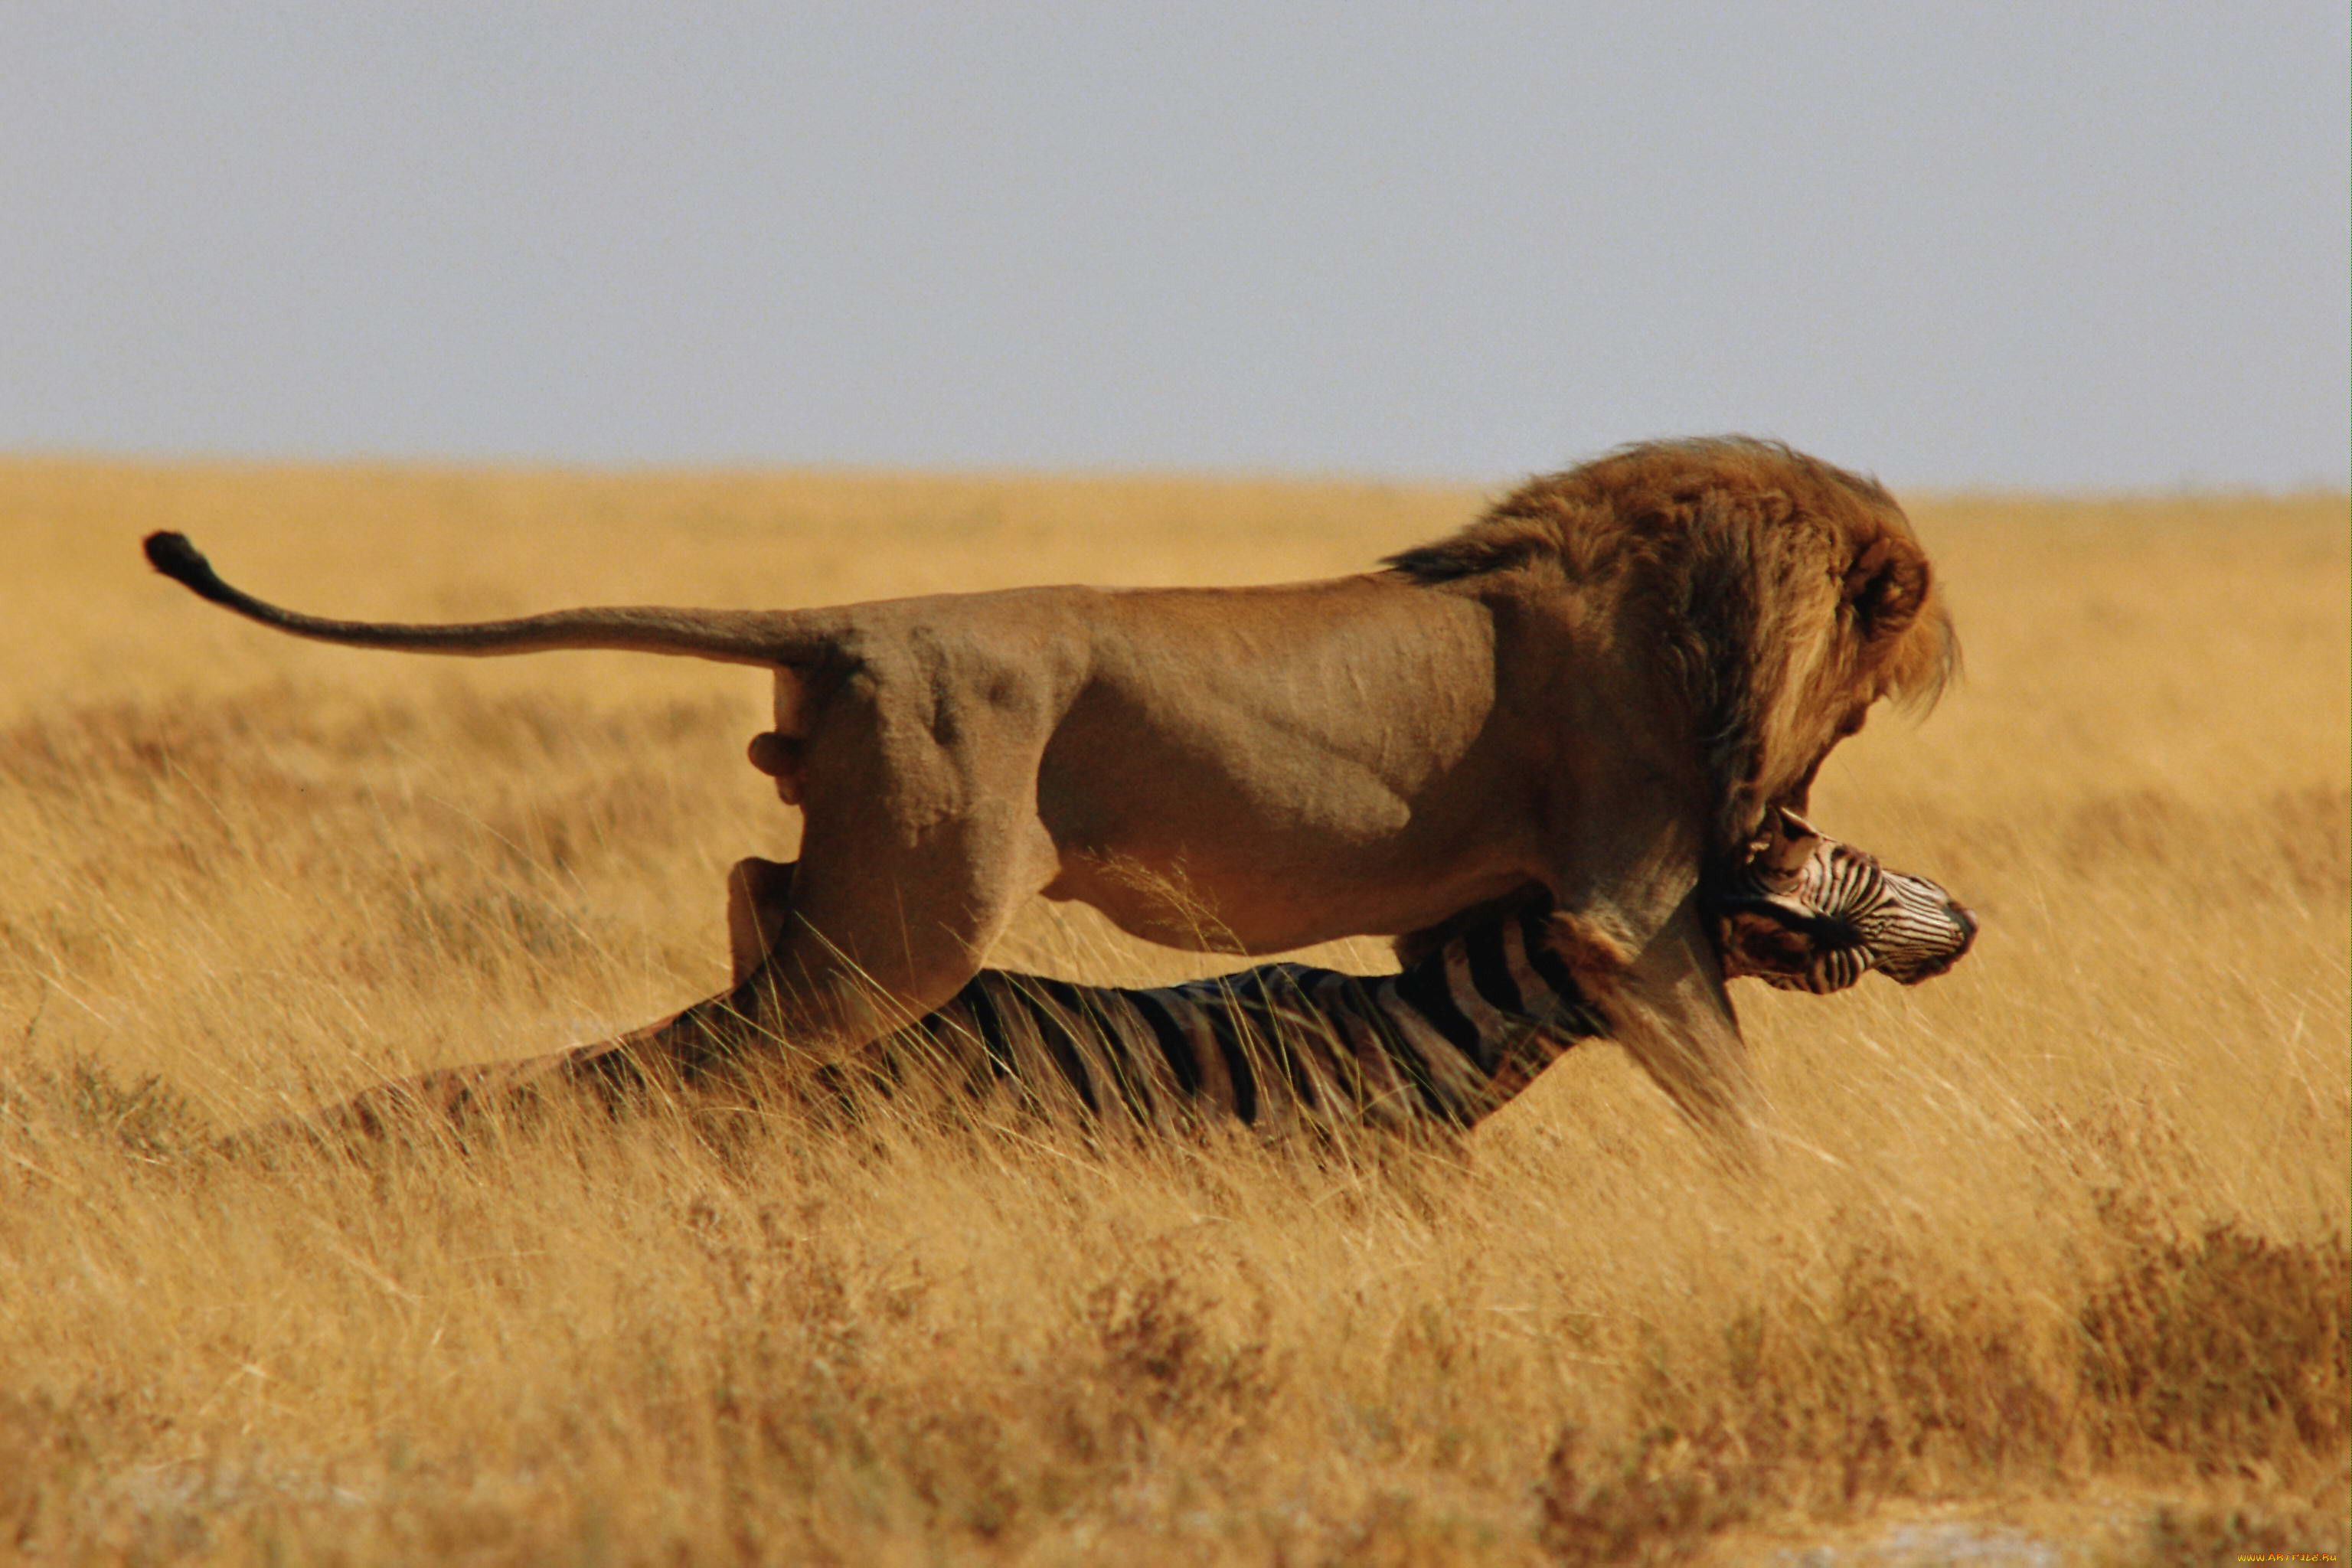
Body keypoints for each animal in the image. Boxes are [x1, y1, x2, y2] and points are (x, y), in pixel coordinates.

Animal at [142, 435, 1947, 1161]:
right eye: (1861, 707)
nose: (1777, 826)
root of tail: (852, 624)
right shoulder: (1627, 903)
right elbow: (1738, 1104)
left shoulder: (1509, 912)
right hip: (916, 913)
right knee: (713, 1041)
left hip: (858, 881)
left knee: (741, 909)